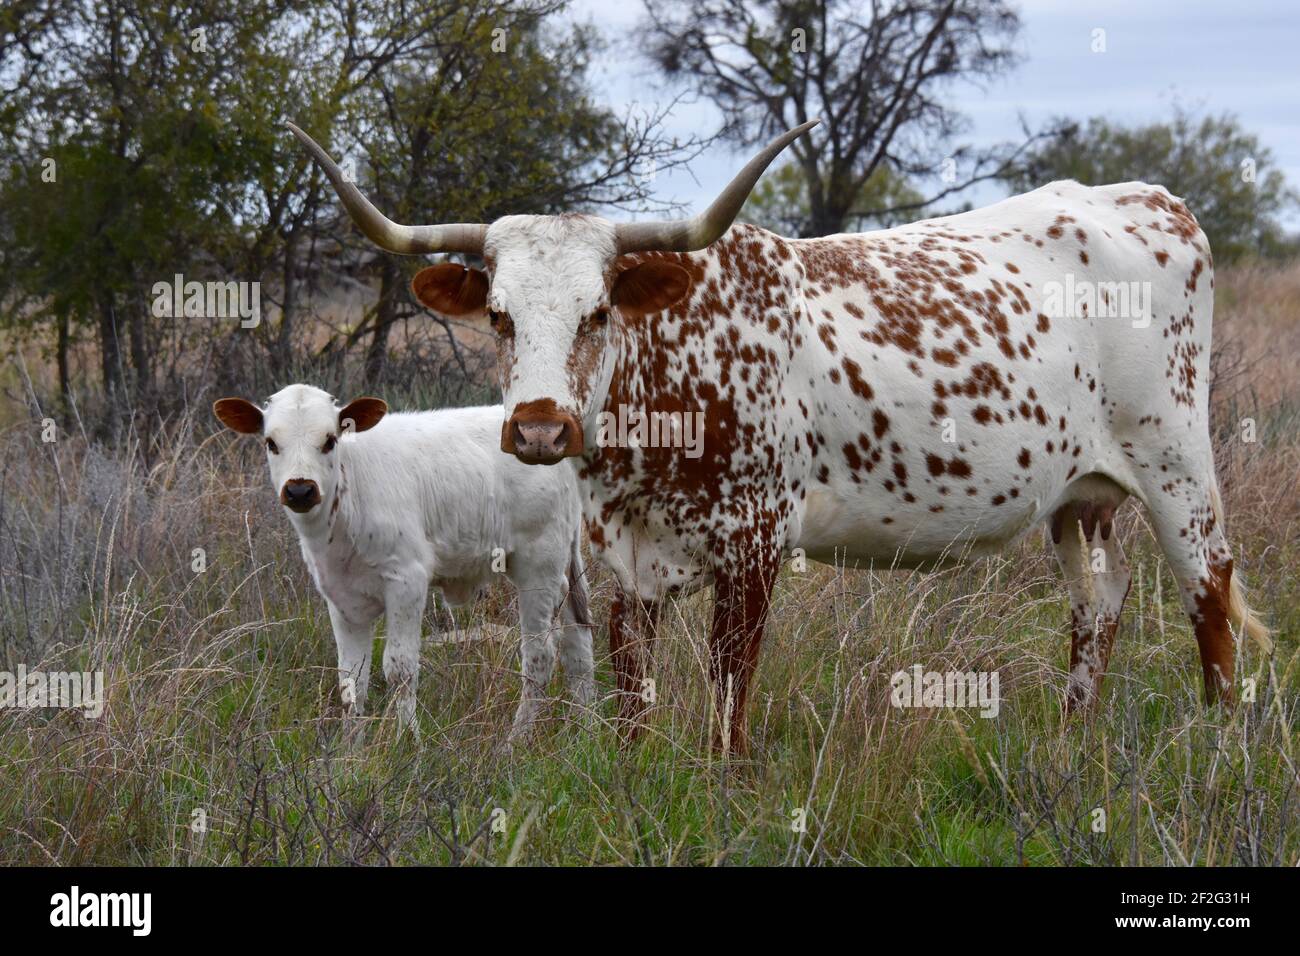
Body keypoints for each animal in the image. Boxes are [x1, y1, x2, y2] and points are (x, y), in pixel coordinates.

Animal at [213, 384, 595, 741]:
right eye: (271, 443)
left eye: (329, 440)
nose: (300, 490)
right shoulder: (340, 596)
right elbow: (352, 680)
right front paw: (351, 750)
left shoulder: (407, 580)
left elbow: (400, 668)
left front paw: (407, 740)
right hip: (561, 567)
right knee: (577, 635)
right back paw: (585, 725)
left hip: (539, 563)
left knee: (540, 655)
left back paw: (518, 739)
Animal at [288, 120, 1270, 754]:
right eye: (497, 316)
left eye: (598, 311)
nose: (538, 428)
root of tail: (1146, 197)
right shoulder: (621, 556)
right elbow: (632, 687)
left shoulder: (755, 542)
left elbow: (729, 692)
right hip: (1081, 496)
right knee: (1099, 603)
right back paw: (1073, 740)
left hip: (1176, 465)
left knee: (1208, 594)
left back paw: (1218, 742)